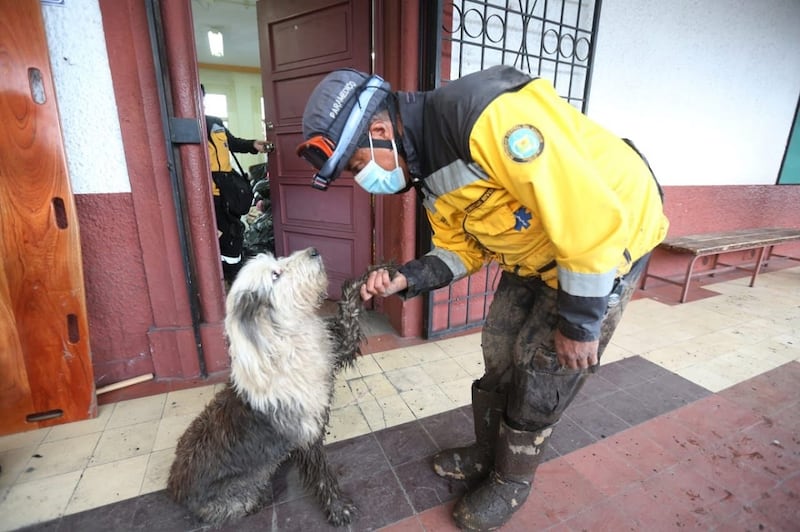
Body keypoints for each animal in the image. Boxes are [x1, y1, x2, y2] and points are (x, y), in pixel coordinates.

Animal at [170, 247, 368, 524]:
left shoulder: (335, 351)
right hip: (238, 497)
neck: (285, 335)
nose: (314, 251)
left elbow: (349, 314)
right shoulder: (308, 432)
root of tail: (174, 488)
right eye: (276, 275)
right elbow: (321, 475)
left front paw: (372, 276)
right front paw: (339, 508)